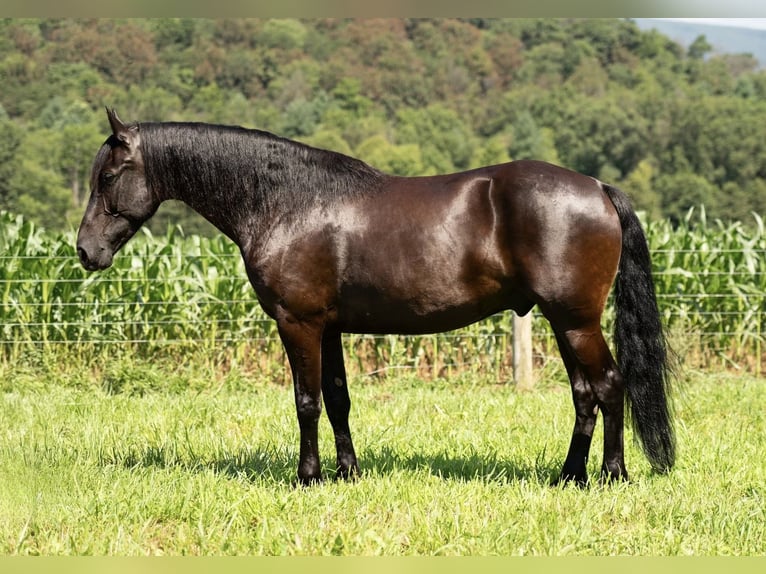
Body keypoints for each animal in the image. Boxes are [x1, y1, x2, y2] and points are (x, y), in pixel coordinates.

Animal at [77, 108, 675, 486]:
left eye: (108, 177)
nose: (85, 251)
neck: (287, 201)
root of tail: (596, 187)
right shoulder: (330, 327)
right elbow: (338, 399)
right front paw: (348, 473)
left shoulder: (298, 323)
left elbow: (307, 401)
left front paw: (308, 478)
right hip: (563, 321)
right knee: (584, 393)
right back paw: (567, 476)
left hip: (575, 320)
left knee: (609, 386)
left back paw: (611, 476)